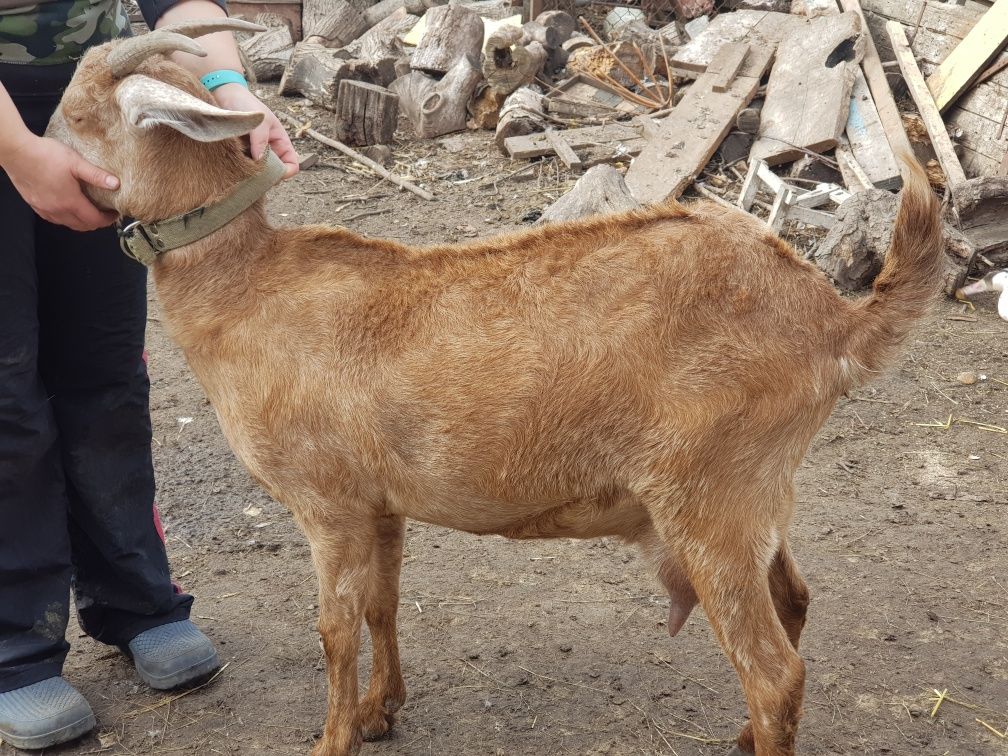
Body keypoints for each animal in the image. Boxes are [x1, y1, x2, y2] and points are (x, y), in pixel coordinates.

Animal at [47, 25, 943, 756]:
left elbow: (335, 628)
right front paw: (380, 714)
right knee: (794, 604)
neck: (249, 289)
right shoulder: (380, 503)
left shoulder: (326, 501)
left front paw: (333, 739)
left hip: (710, 499)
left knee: (773, 673)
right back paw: (740, 735)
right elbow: (382, 605)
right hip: (757, 496)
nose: (43, 166)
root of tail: (832, 320)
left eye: (75, 113)